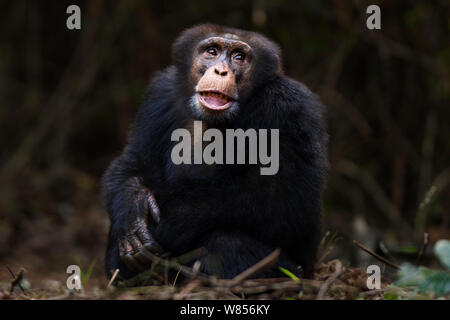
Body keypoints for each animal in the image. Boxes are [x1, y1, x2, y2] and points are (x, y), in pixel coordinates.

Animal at [101, 23, 326, 282]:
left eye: (239, 57)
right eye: (212, 51)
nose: (220, 70)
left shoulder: (288, 106)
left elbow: (282, 204)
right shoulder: (159, 94)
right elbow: (135, 159)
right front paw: (132, 203)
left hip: (296, 273)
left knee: (224, 244)